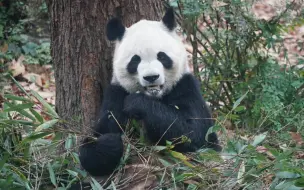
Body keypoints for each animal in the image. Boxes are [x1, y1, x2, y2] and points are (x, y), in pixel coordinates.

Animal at [78, 7, 221, 180]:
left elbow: (194, 132)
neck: (154, 96)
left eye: (162, 56)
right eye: (135, 60)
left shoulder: (185, 87)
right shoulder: (116, 94)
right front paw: (109, 142)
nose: (151, 77)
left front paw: (136, 104)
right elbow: (95, 140)